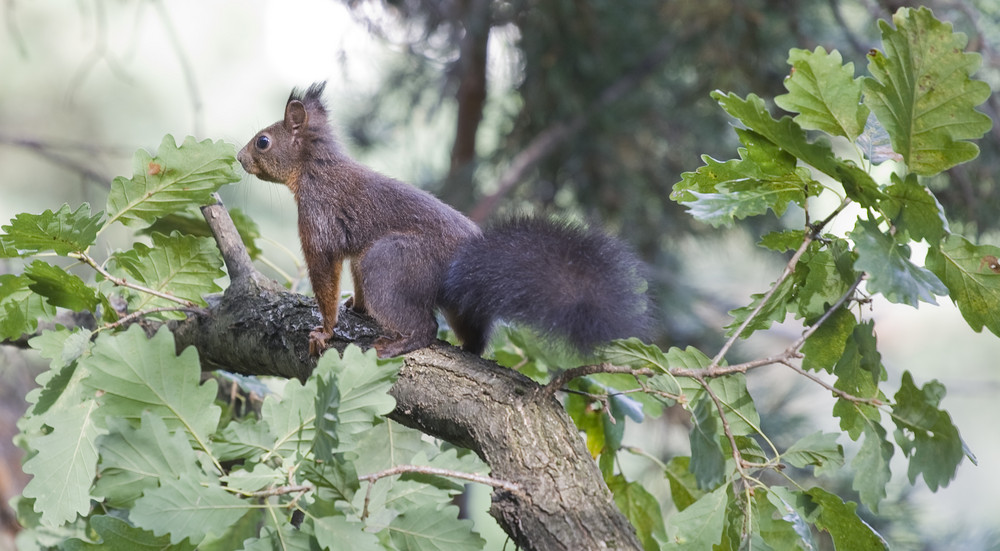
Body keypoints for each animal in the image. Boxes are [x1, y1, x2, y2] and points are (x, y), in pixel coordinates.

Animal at [238, 82, 652, 358]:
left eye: (263, 142)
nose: (240, 158)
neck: (314, 167)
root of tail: (465, 263)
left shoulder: (319, 219)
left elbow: (325, 274)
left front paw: (325, 330)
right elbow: (352, 274)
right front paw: (357, 304)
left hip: (391, 262)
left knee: (426, 326)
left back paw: (398, 344)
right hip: (454, 300)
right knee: (474, 332)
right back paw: (468, 347)